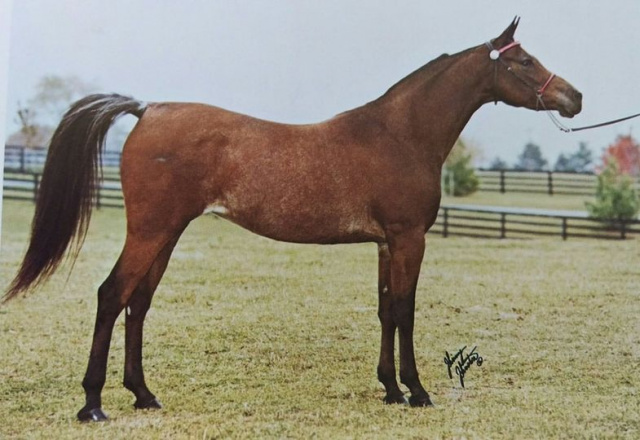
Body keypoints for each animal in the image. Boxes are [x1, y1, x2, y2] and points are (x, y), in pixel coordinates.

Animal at [3, 18, 580, 422]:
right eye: (525, 61)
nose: (574, 97)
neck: (399, 134)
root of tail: (148, 109)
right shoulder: (409, 239)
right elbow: (407, 311)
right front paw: (417, 392)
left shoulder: (385, 244)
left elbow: (385, 311)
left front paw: (390, 389)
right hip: (150, 231)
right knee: (111, 296)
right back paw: (92, 404)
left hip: (165, 235)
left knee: (137, 303)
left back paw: (144, 396)